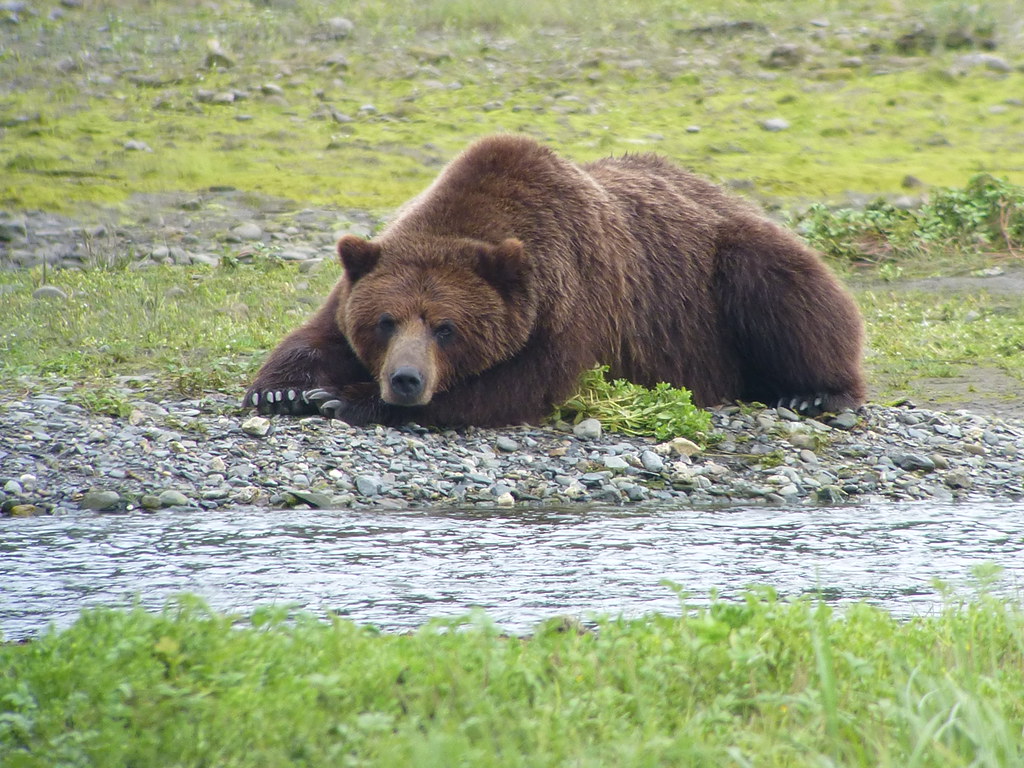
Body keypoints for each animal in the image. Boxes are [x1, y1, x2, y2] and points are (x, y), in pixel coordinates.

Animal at [245, 135, 864, 430]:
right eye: (385, 321)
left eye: (445, 328)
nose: (404, 380)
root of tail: (722, 191)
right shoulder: (367, 269)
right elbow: (317, 334)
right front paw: (283, 390)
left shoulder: (573, 305)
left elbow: (515, 387)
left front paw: (343, 397)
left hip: (726, 270)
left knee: (785, 290)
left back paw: (813, 392)